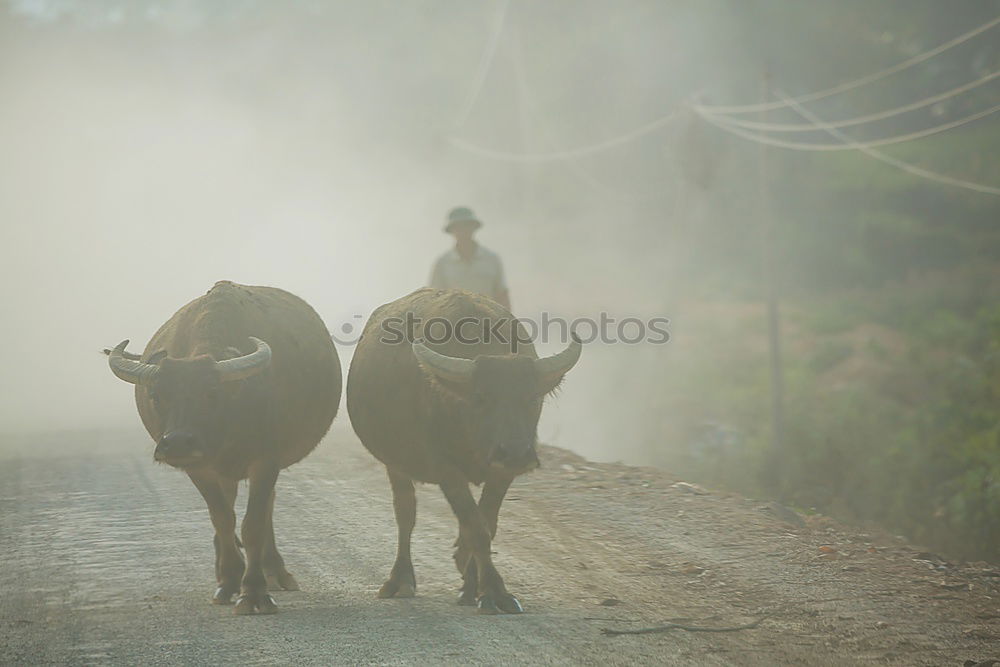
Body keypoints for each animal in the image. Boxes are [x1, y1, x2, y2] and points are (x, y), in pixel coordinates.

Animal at [103, 280, 342, 612]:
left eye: (212, 393)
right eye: (156, 396)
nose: (177, 443)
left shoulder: (266, 461)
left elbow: (252, 524)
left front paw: (253, 592)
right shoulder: (199, 468)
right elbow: (222, 519)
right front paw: (229, 582)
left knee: (267, 506)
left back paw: (275, 572)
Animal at [346, 288, 584, 616]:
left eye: (532, 398)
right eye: (481, 397)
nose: (516, 453)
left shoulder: (502, 474)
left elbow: (485, 525)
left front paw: (474, 588)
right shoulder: (446, 470)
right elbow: (477, 528)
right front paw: (494, 592)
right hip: (394, 463)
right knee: (406, 514)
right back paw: (400, 580)